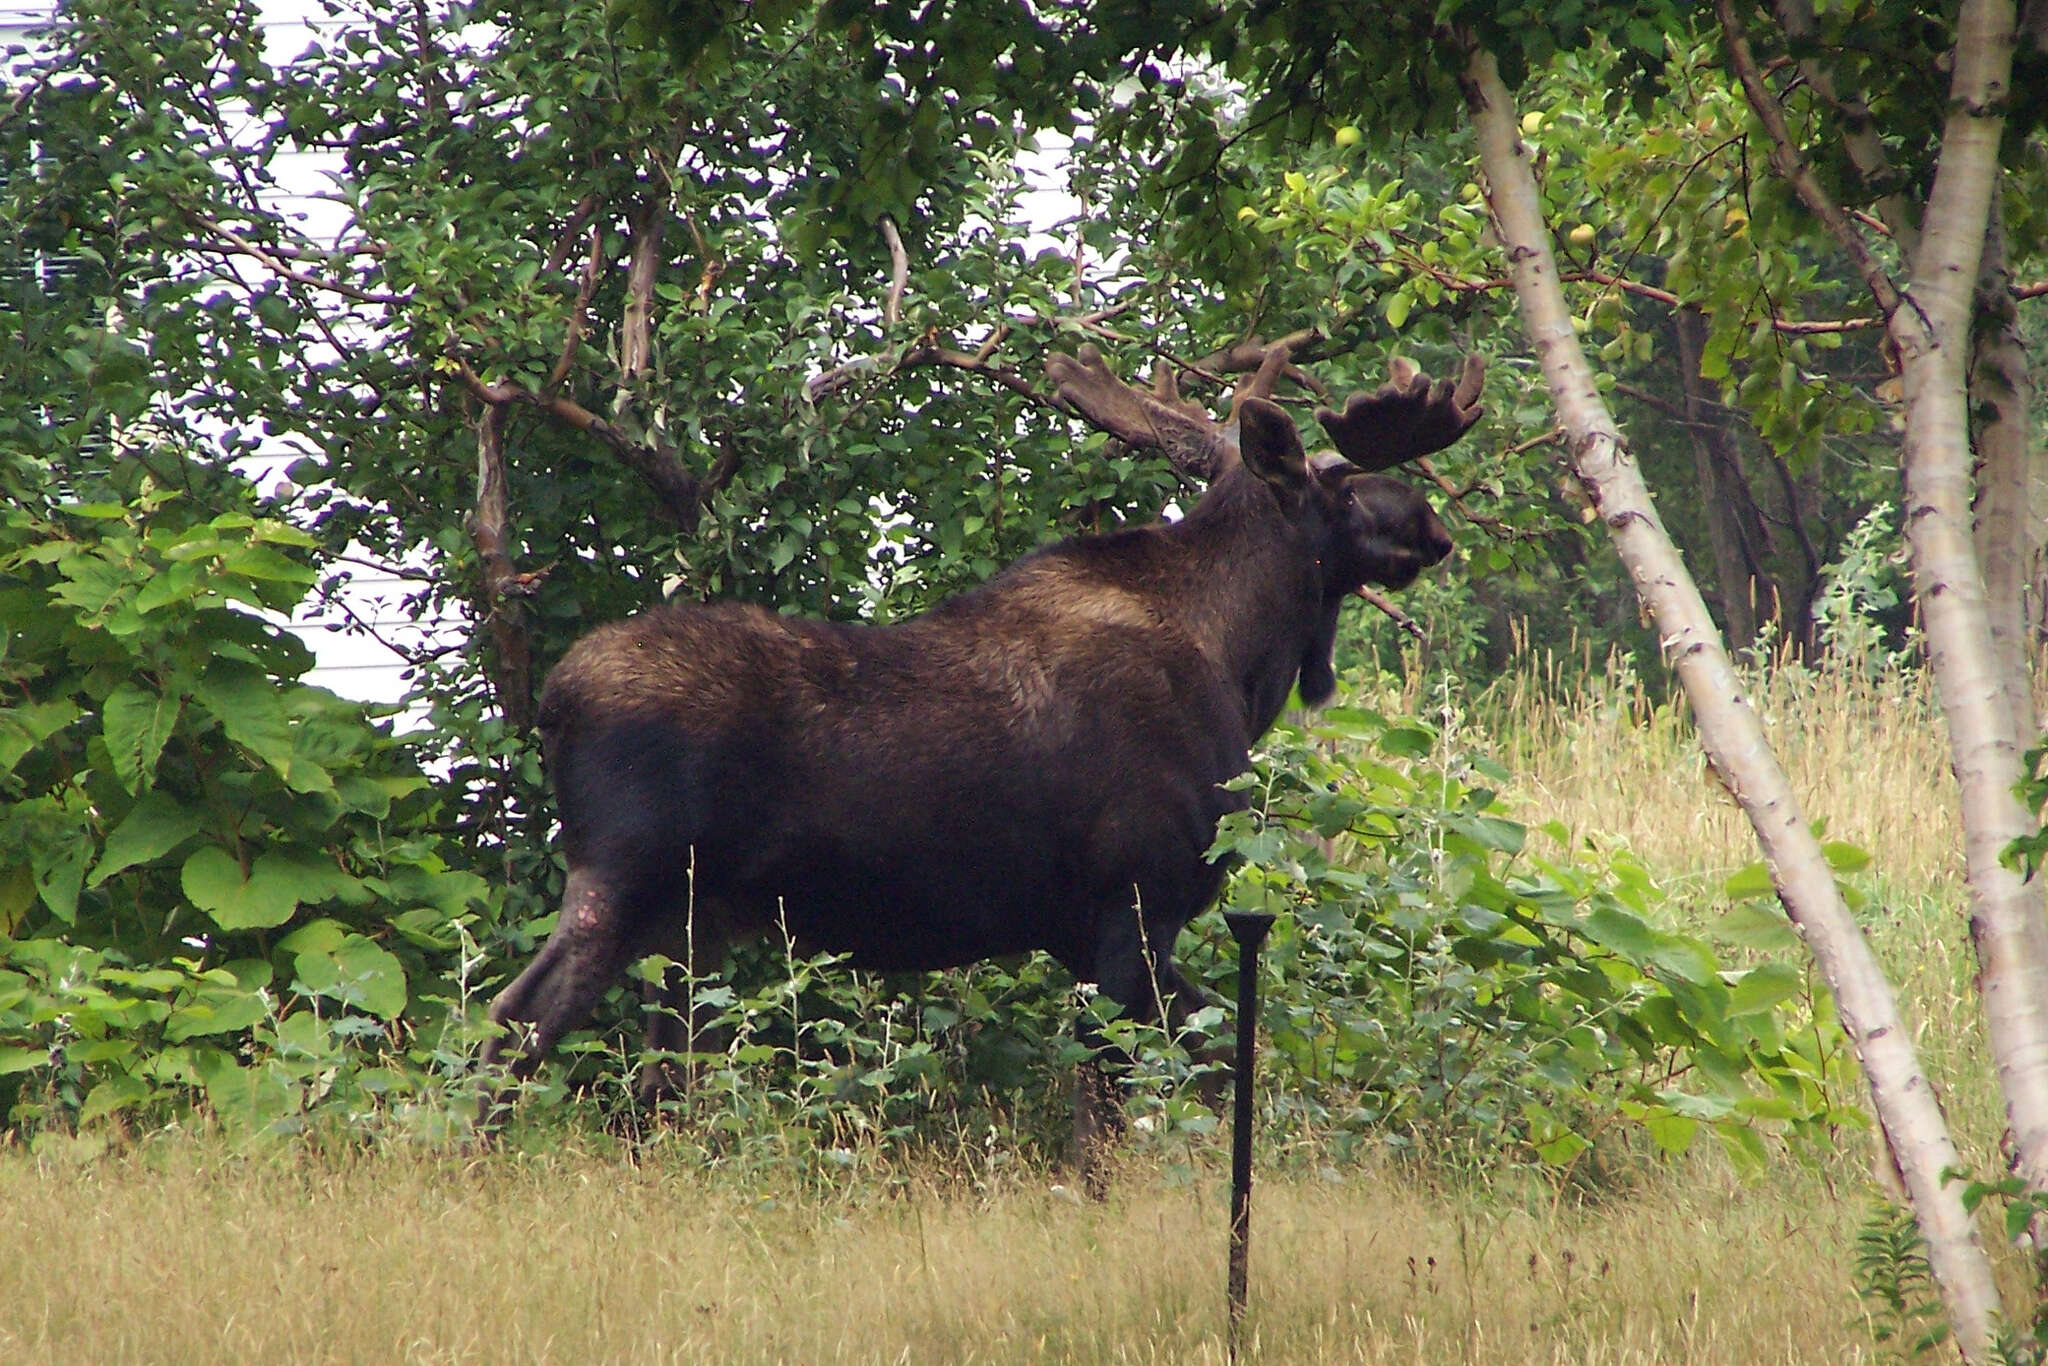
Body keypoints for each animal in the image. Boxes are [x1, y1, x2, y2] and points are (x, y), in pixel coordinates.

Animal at [471, 342, 1482, 1163]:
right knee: (515, 1022)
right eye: (1343, 486)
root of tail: (554, 705)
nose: (1435, 529)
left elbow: (1200, 1065)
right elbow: (1108, 1116)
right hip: (627, 874)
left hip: (683, 923)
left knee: (651, 1074)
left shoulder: (1082, 931)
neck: (1242, 665)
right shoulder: (1134, 903)